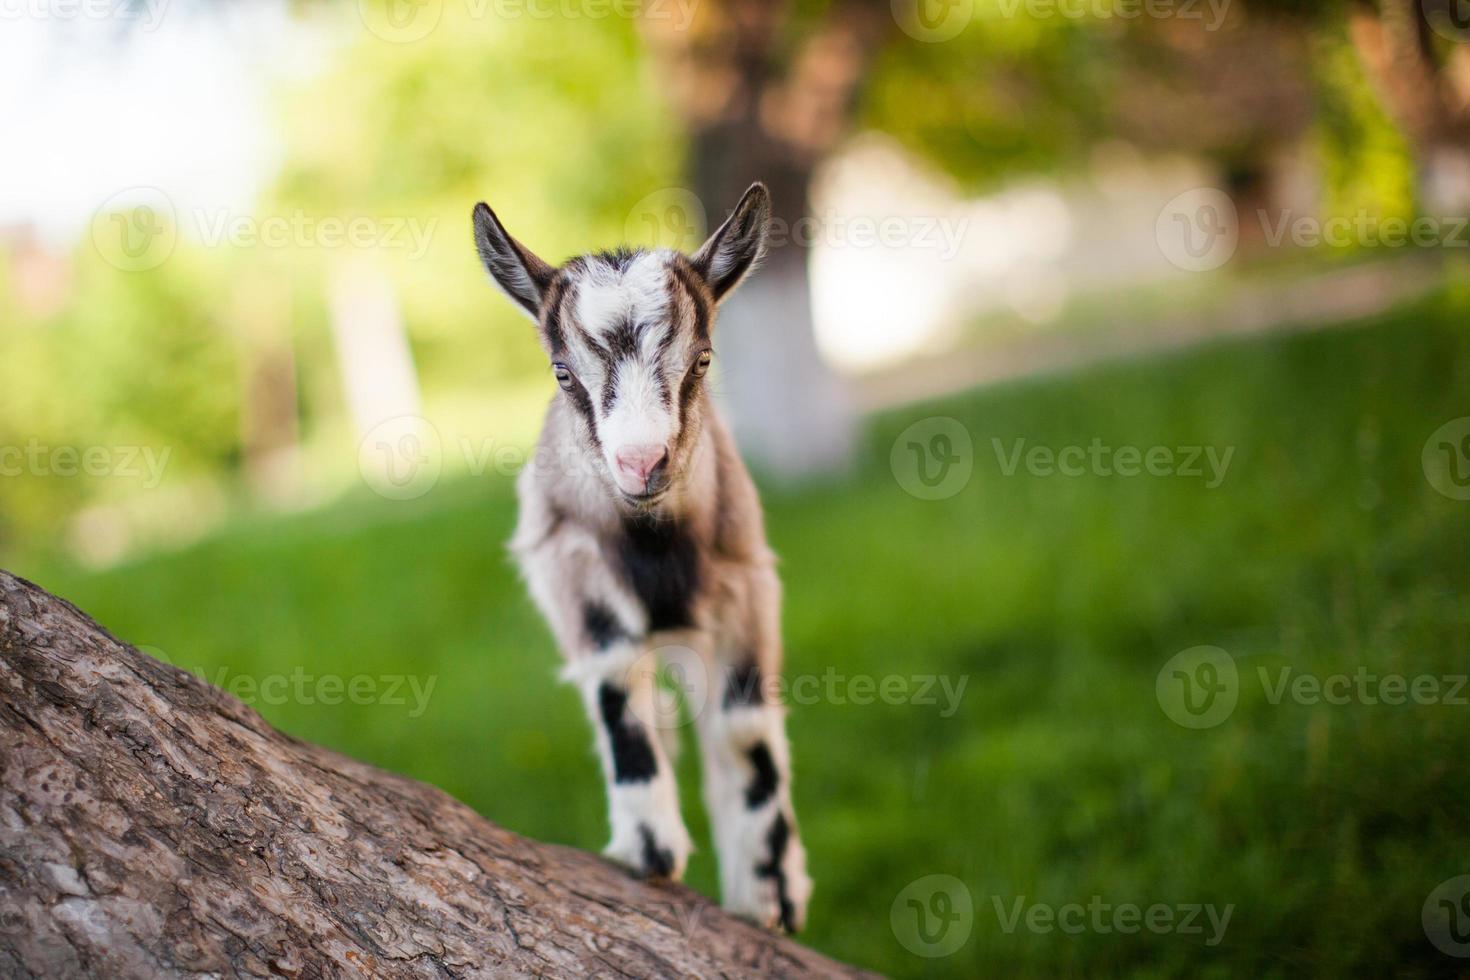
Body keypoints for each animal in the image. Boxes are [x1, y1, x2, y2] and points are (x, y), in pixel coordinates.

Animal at [473, 185, 811, 934]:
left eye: (704, 359)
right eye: (563, 373)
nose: (641, 463)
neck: (654, 545)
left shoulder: (747, 577)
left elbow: (744, 726)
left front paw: (770, 890)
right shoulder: (567, 566)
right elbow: (614, 682)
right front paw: (650, 846)